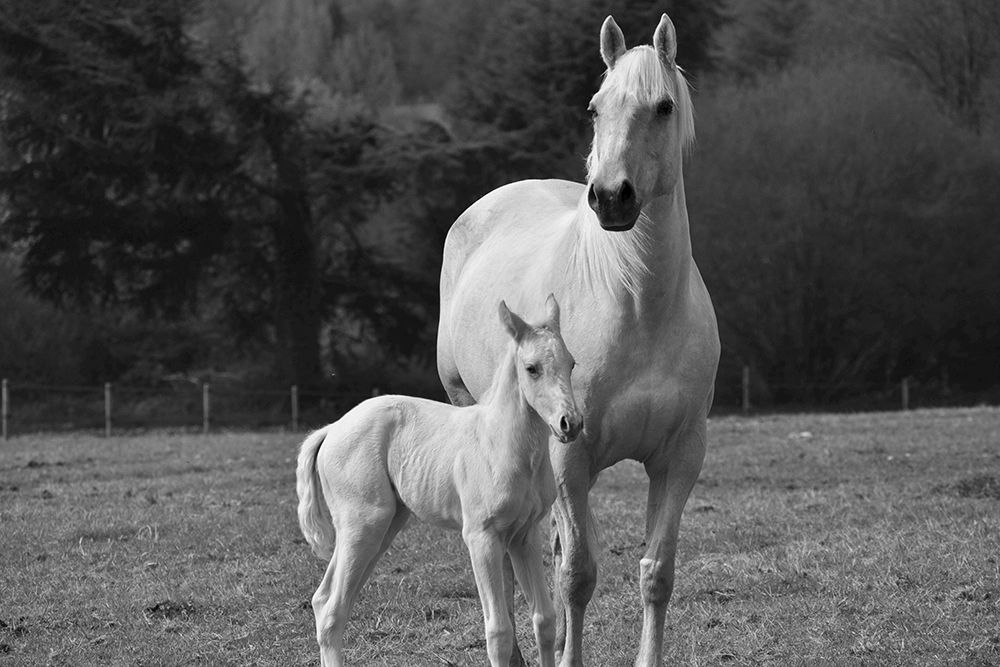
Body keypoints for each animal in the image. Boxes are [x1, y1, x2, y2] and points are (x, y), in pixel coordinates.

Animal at [297, 295, 583, 667]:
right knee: (333, 611)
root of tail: (332, 429)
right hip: (363, 524)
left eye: (571, 364)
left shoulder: (523, 535)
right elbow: (498, 632)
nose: (570, 424)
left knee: (324, 600)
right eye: (532, 368)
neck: (501, 443)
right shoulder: (481, 537)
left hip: (383, 527)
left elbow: (544, 619)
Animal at [436, 14, 720, 667]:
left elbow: (655, 572)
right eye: (595, 107)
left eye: (664, 106)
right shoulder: (572, 456)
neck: (638, 303)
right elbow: (577, 575)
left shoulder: (680, 458)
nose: (611, 197)